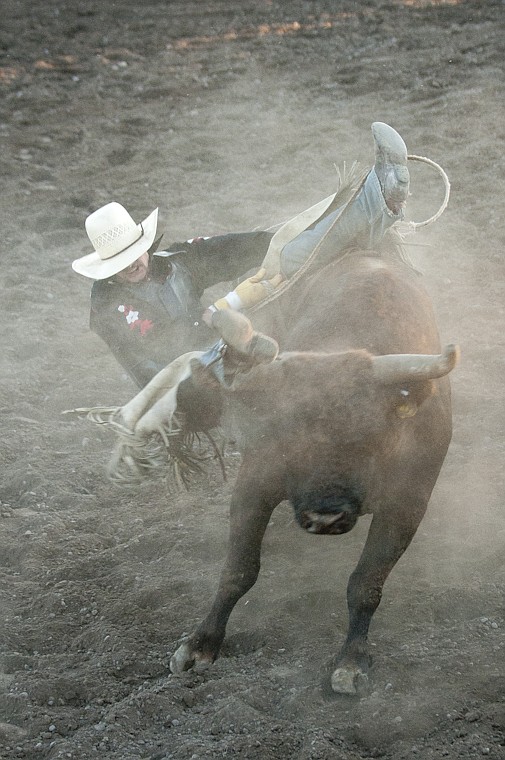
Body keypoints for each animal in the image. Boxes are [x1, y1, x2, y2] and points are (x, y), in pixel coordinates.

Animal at [80, 239, 458, 696]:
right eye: (286, 430)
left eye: (372, 431)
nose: (325, 517)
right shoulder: (256, 481)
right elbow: (238, 570)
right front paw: (199, 645)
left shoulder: (408, 502)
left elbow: (366, 583)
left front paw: (351, 661)